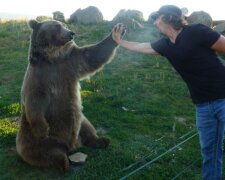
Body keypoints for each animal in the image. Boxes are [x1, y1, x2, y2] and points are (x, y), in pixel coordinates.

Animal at [15, 19, 124, 170]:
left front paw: (117, 33)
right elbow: (34, 99)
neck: (54, 57)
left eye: (65, 25)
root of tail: (71, 146)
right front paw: (42, 130)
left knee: (87, 128)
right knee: (41, 151)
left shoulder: (70, 62)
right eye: (57, 26)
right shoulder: (39, 76)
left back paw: (102, 140)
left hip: (81, 120)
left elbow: (92, 55)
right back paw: (62, 161)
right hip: (31, 137)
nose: (71, 33)